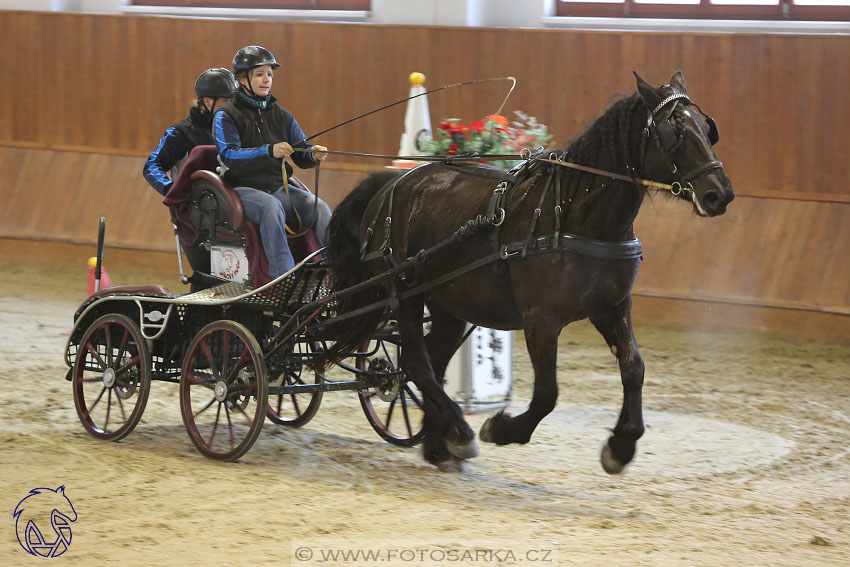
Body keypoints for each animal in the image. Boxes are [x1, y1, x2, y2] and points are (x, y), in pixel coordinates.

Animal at [322, 72, 732, 474]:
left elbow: (634, 368)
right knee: (417, 364)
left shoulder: (612, 307)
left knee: (430, 363)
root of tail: (392, 183)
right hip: (405, 293)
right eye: (674, 130)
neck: (573, 215)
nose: (720, 195)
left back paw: (440, 444)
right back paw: (460, 430)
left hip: (449, 306)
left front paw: (621, 445)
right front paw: (502, 429)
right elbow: (547, 392)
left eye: (706, 128)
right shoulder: (541, 320)